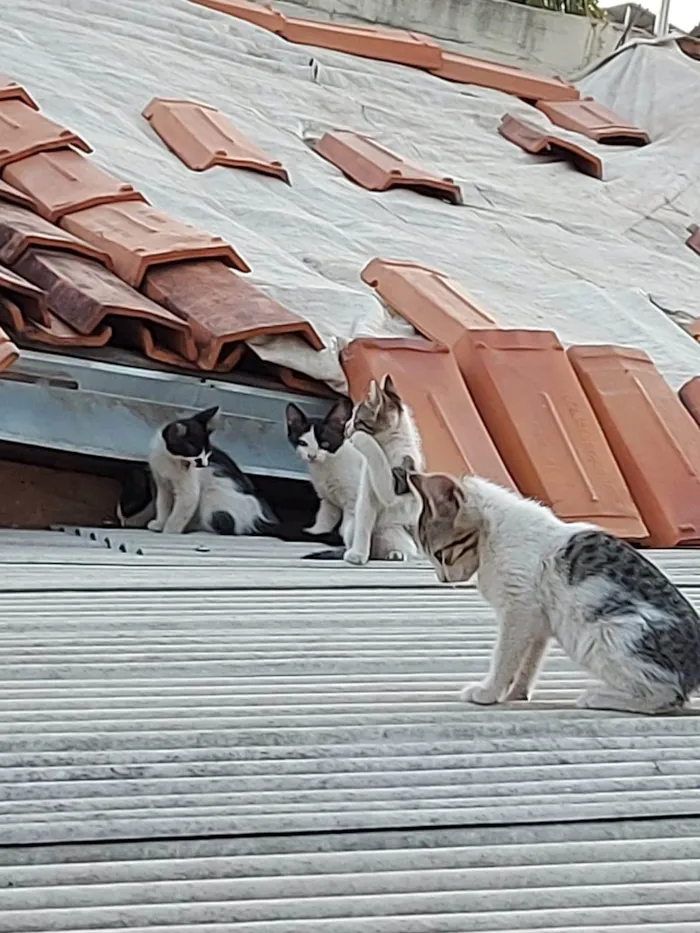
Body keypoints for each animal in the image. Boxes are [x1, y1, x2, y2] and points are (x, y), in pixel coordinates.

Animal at [342, 374, 424, 564]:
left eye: (356, 420)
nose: (345, 427)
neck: (387, 447)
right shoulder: (366, 494)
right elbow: (363, 522)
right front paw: (358, 553)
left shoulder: (398, 484)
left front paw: (360, 439)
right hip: (351, 527)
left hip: (396, 532)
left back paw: (395, 554)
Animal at [408, 474, 700, 712]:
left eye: (440, 554)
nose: (442, 578)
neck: (492, 536)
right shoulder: (537, 621)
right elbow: (528, 662)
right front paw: (516, 693)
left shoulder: (518, 610)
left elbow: (504, 657)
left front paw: (488, 692)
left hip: (604, 635)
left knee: (667, 695)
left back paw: (597, 697)